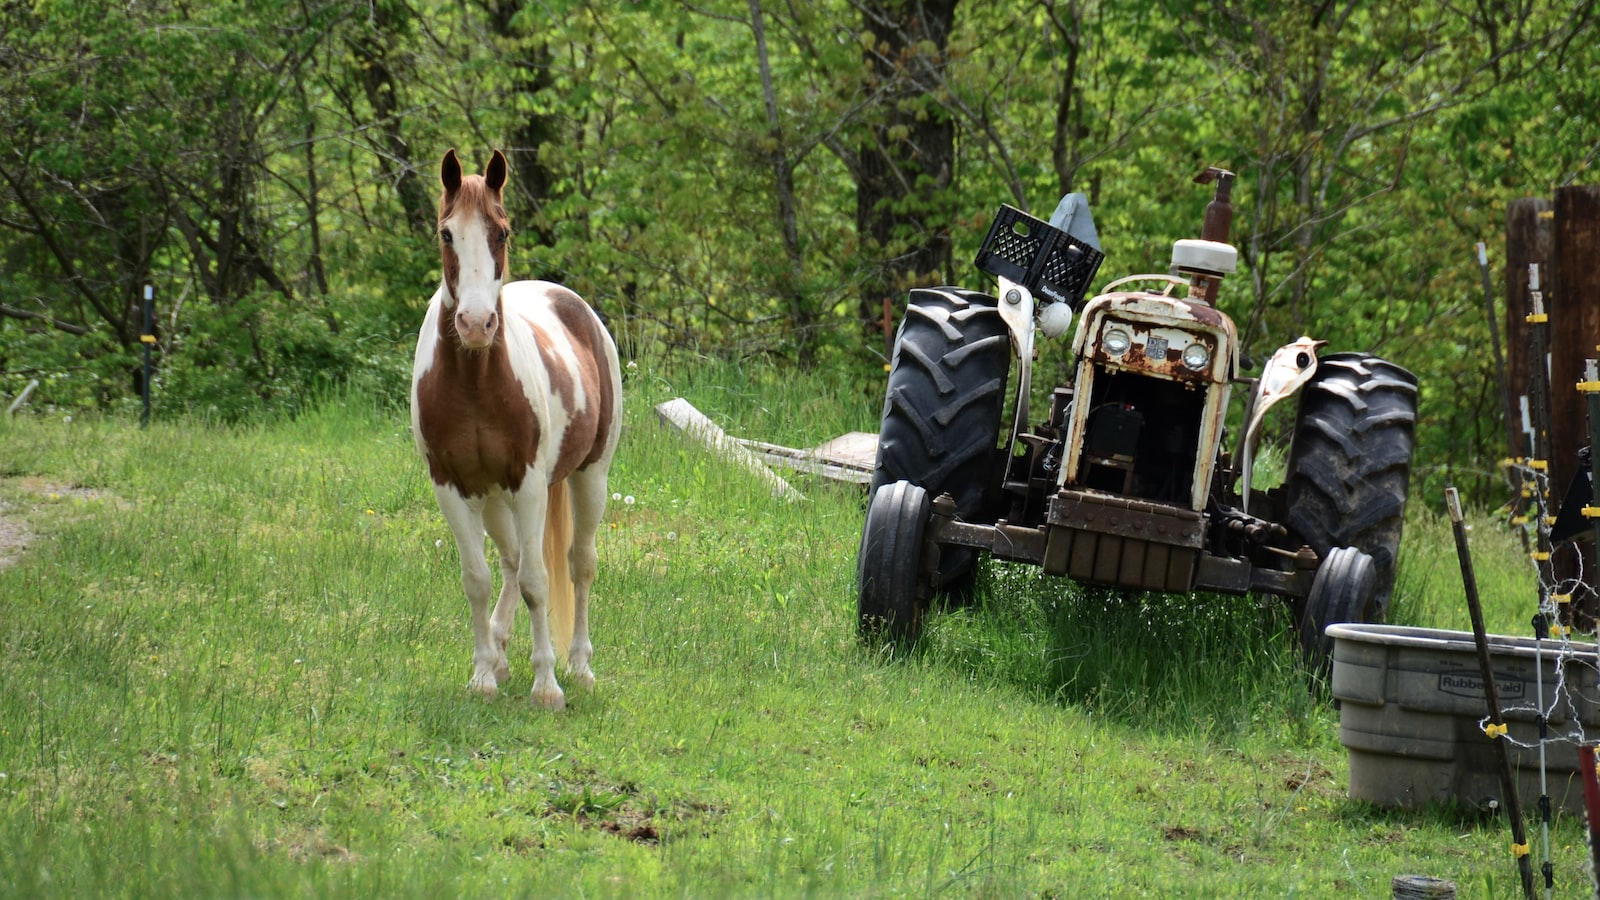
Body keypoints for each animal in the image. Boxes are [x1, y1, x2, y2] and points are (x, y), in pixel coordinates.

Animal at [409, 148, 620, 707]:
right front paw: (483, 673)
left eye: (501, 232)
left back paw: (580, 667)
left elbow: (537, 583)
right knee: (507, 560)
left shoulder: (529, 485)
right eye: (446, 233)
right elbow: (478, 579)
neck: (476, 382)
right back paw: (502, 654)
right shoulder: (452, 486)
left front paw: (546, 686)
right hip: (493, 498)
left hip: (589, 477)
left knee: (579, 564)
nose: (476, 324)